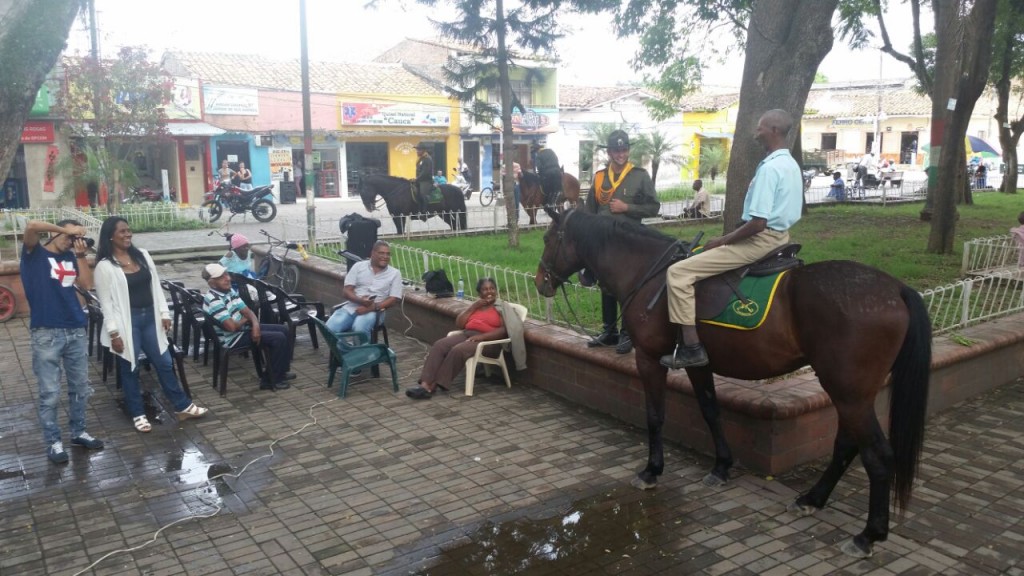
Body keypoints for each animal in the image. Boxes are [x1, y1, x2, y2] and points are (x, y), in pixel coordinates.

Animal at [536, 208, 937, 557]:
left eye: (546, 238)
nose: (541, 282)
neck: (648, 272)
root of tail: (896, 289)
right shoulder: (698, 363)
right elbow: (711, 410)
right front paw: (721, 467)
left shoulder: (648, 359)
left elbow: (655, 416)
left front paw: (652, 470)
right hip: (848, 393)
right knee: (846, 445)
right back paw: (812, 499)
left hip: (849, 393)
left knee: (878, 456)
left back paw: (868, 535)